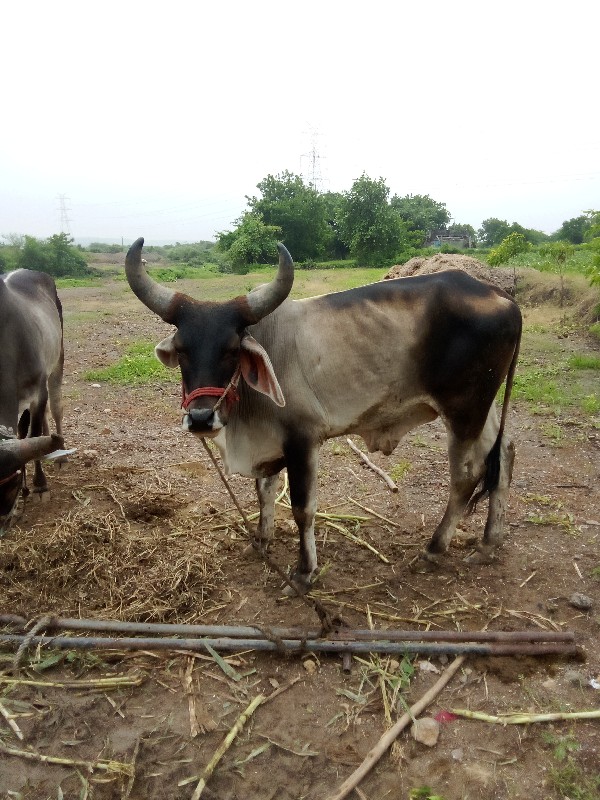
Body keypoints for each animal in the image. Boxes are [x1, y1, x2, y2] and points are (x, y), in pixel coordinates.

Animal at [0, 272, 64, 528]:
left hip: (57, 361)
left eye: (10, 483)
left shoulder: (38, 391)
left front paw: (39, 485)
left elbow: (33, 435)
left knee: (55, 408)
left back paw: (61, 453)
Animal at [125, 238, 520, 592]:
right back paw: (488, 544)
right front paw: (261, 541)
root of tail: (501, 296)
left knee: (466, 476)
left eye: (232, 349)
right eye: (182, 349)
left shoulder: (302, 441)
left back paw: (434, 550)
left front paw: (303, 573)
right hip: (484, 408)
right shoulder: (272, 443)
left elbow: (302, 508)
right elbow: (264, 492)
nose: (201, 418)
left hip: (464, 410)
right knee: (503, 454)